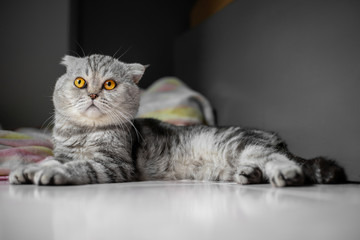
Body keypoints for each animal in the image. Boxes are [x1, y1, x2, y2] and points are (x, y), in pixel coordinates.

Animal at [7, 54, 346, 188]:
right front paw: (27, 170)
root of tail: (275, 138)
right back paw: (250, 175)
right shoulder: (64, 152)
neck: (83, 133)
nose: (91, 93)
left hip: (245, 144)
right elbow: (54, 160)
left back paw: (285, 174)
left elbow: (79, 167)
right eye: (79, 82)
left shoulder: (113, 164)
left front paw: (49, 174)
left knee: (280, 161)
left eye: (109, 85)